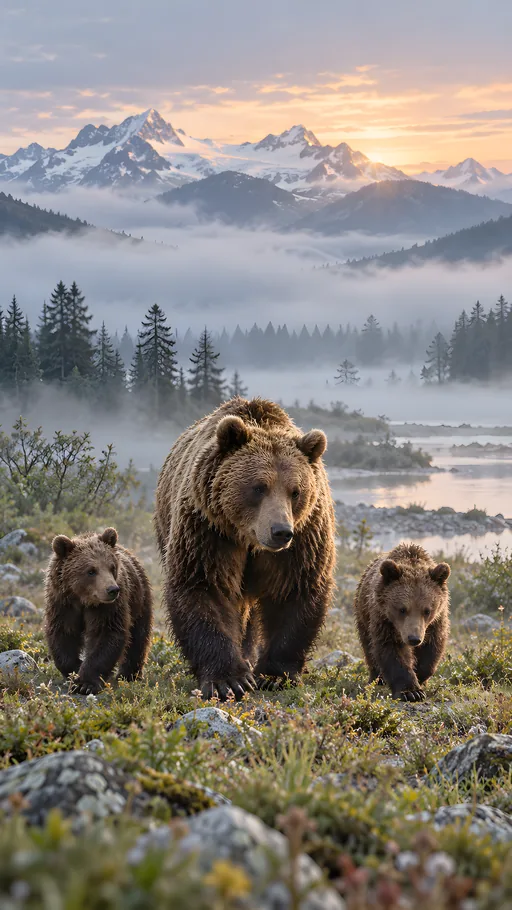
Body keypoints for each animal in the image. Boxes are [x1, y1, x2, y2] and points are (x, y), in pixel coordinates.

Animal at [44, 527, 153, 694]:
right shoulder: (63, 604)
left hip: (139, 599)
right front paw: (75, 670)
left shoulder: (107, 609)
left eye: (112, 567)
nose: (112, 590)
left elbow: (106, 635)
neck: (83, 600)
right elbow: (63, 634)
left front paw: (86, 683)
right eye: (91, 571)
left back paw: (129, 675)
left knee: (138, 638)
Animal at [154, 396, 336, 701]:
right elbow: (204, 587)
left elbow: (295, 590)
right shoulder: (210, 532)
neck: (249, 540)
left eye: (296, 491)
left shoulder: (302, 540)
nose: (280, 531)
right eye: (259, 487)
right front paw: (228, 680)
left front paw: (274, 675)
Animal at [354, 542, 450, 701]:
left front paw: (420, 676)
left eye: (427, 610)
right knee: (369, 647)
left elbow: (432, 647)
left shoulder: (436, 621)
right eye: (402, 609)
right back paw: (377, 678)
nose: (414, 638)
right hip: (363, 614)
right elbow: (391, 651)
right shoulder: (384, 621)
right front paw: (411, 692)